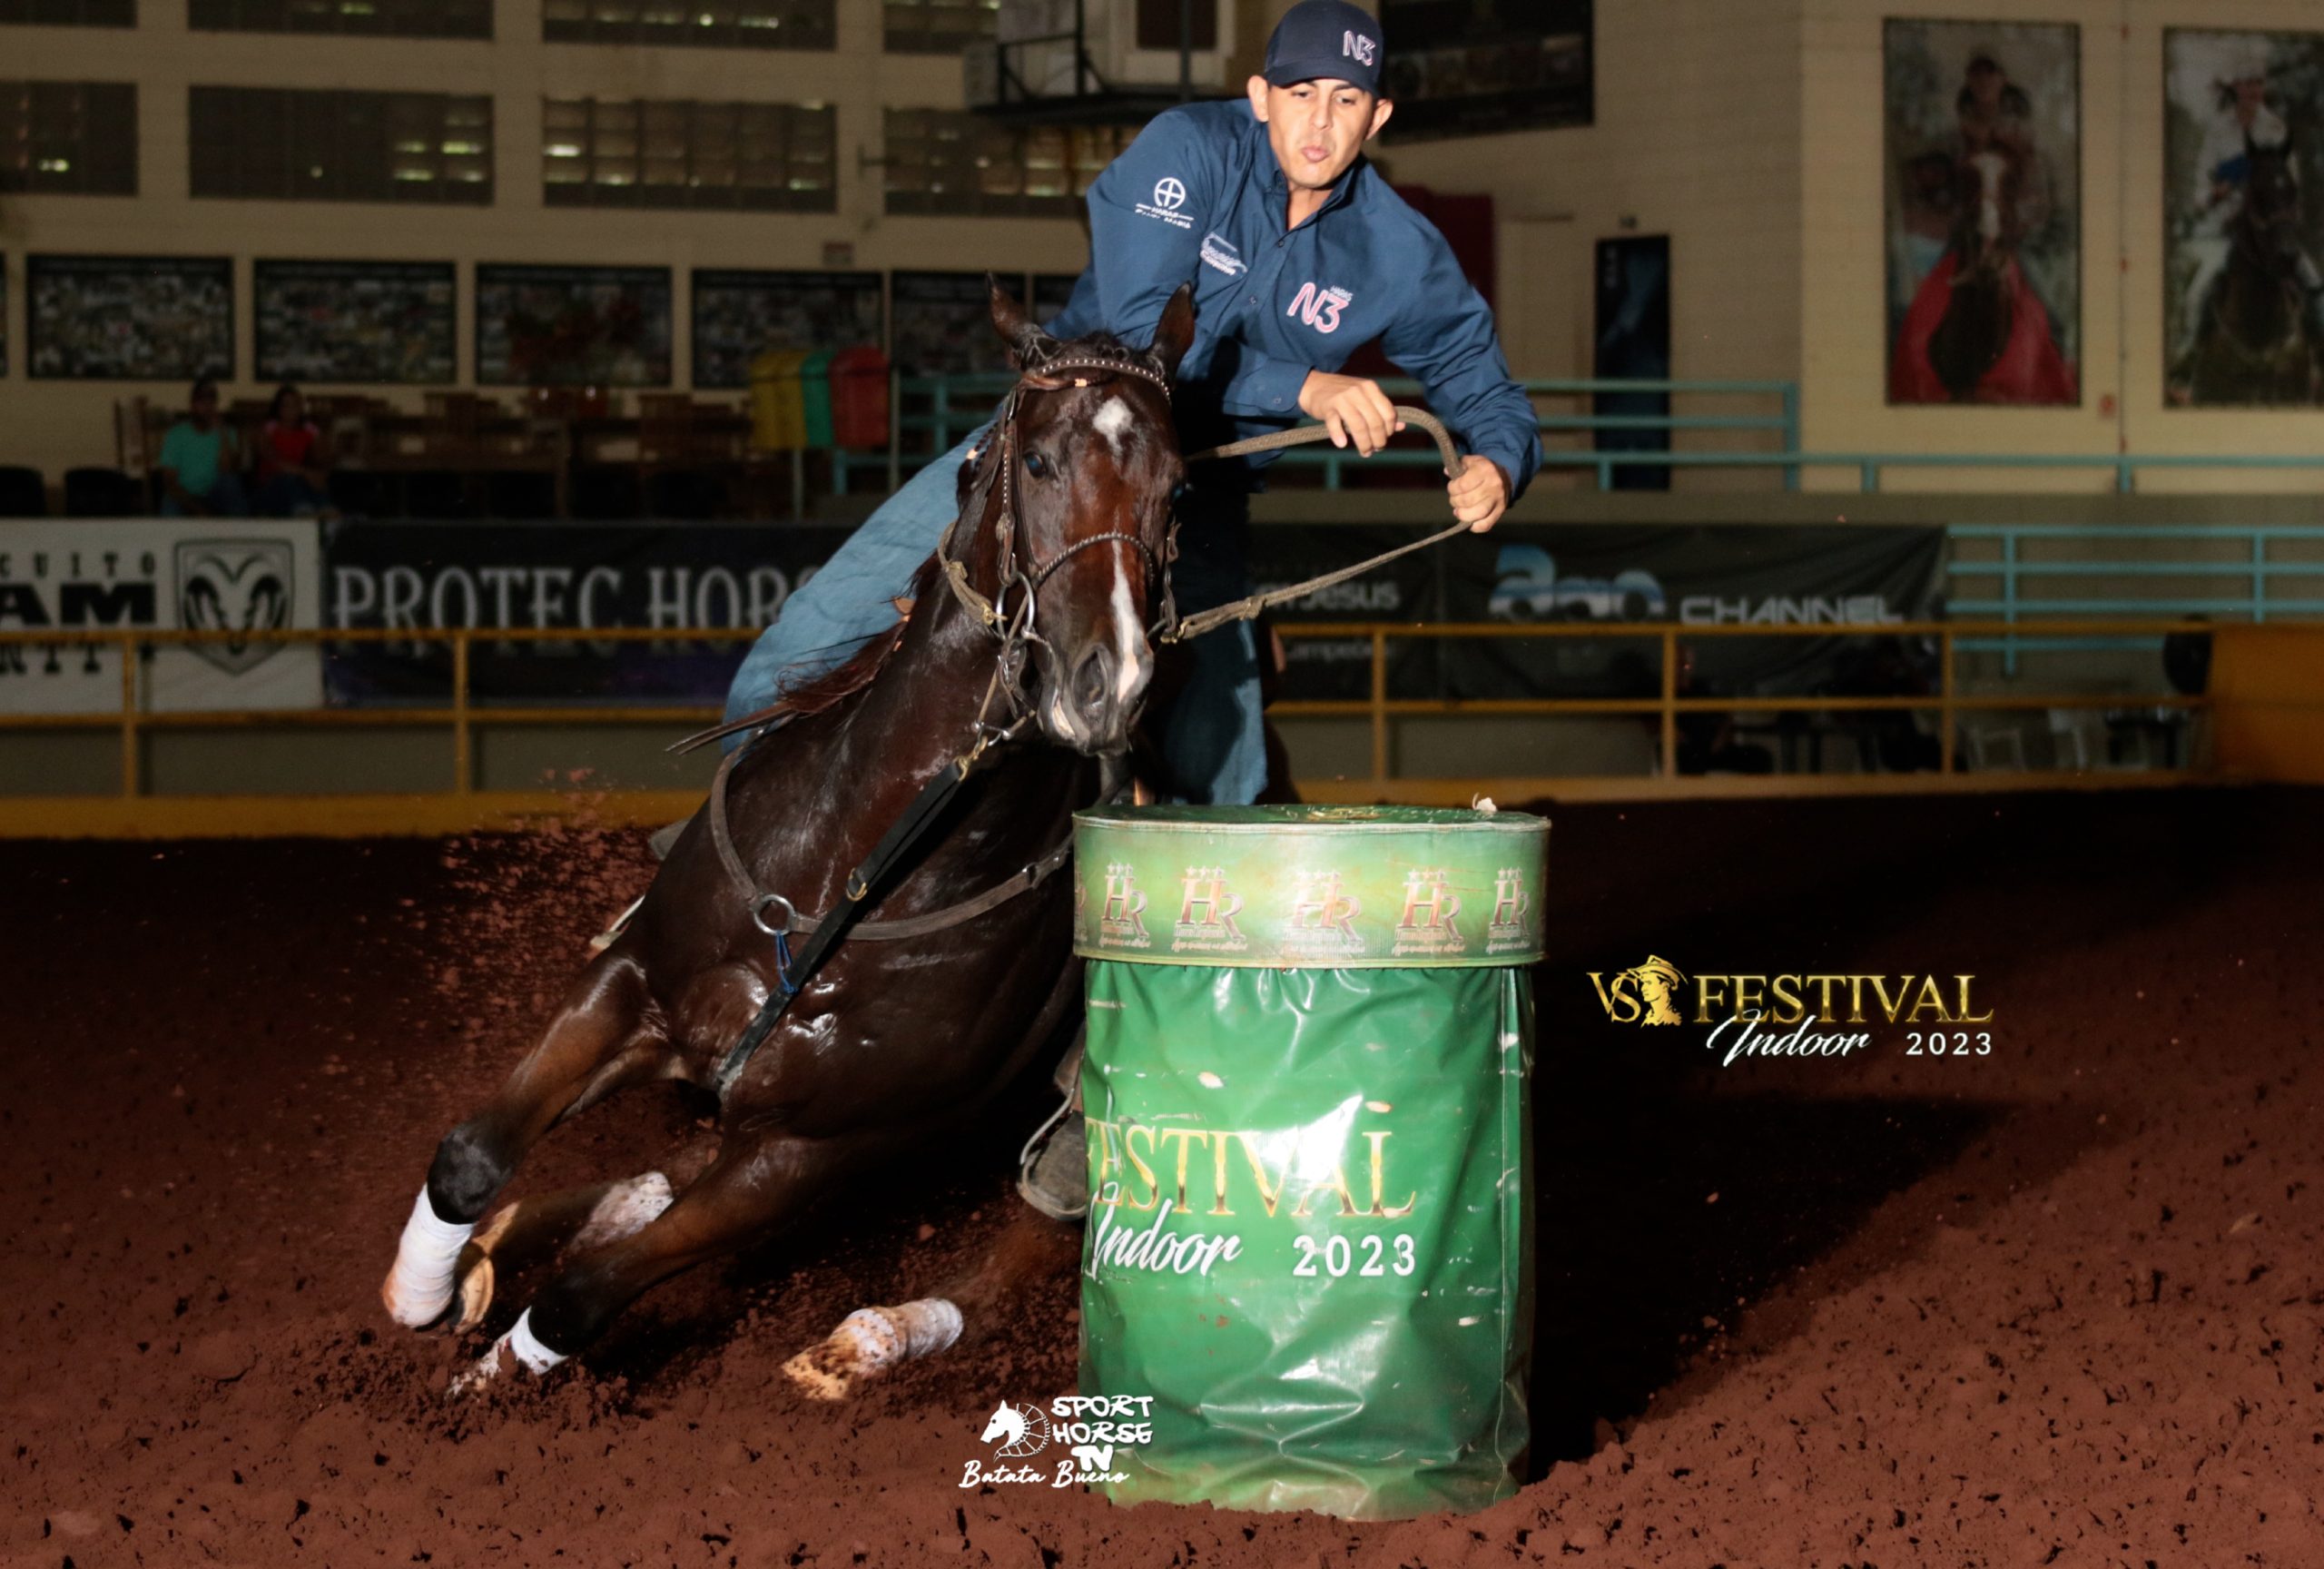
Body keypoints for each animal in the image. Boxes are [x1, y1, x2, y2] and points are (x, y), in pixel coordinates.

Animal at [380, 279, 1198, 1385]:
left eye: (1178, 487)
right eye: (1035, 460)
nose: (1107, 680)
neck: (857, 871)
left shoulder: (805, 1154)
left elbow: (580, 1298)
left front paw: (487, 1380)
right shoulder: (632, 982)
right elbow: (473, 1157)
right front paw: (428, 1295)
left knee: (1019, 1264)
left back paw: (876, 1338)